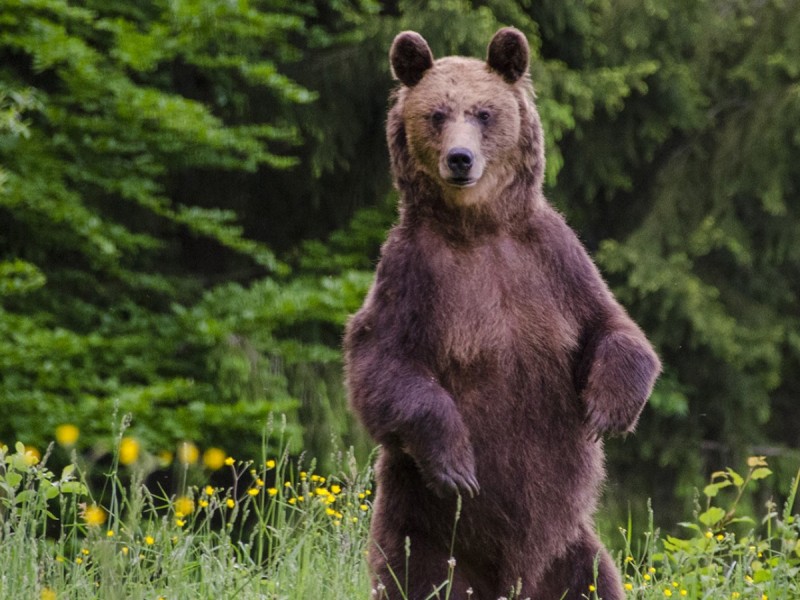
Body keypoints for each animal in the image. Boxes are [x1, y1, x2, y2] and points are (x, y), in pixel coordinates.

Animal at [343, 27, 661, 600]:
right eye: (437, 114)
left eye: (484, 112)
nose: (460, 159)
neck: (479, 228)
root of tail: (512, 583)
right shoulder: (412, 274)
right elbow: (382, 366)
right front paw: (458, 464)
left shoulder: (552, 261)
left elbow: (613, 326)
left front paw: (607, 408)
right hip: (420, 525)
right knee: (411, 574)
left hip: (570, 547)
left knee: (594, 577)